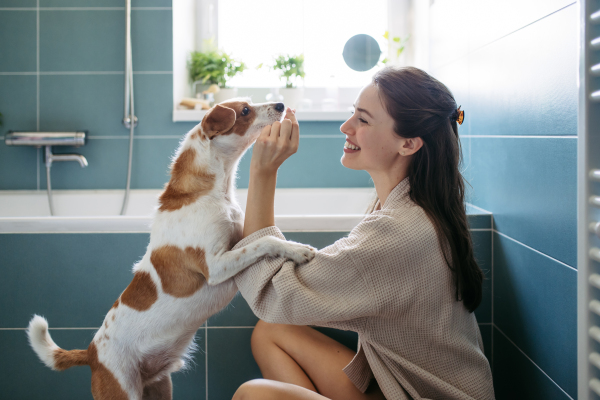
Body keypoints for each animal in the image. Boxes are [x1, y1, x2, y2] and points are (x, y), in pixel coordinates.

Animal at [27, 98, 318, 398]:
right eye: (245, 110)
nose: (281, 104)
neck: (213, 191)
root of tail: (92, 353)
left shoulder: (237, 241)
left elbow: (262, 238)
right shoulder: (215, 266)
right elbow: (265, 241)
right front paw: (298, 249)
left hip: (160, 387)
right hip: (123, 389)